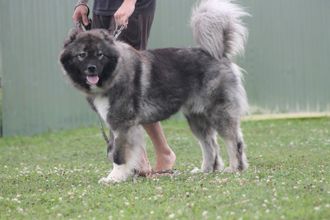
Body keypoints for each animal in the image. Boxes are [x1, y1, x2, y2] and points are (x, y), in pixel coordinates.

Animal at [60, 0, 250, 183]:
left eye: (100, 54)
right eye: (82, 55)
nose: (91, 69)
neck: (115, 71)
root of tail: (218, 55)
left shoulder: (122, 123)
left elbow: (118, 154)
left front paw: (115, 177)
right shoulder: (117, 124)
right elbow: (117, 151)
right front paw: (126, 174)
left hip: (218, 113)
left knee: (234, 140)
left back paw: (235, 168)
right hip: (196, 117)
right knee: (209, 144)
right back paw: (206, 169)